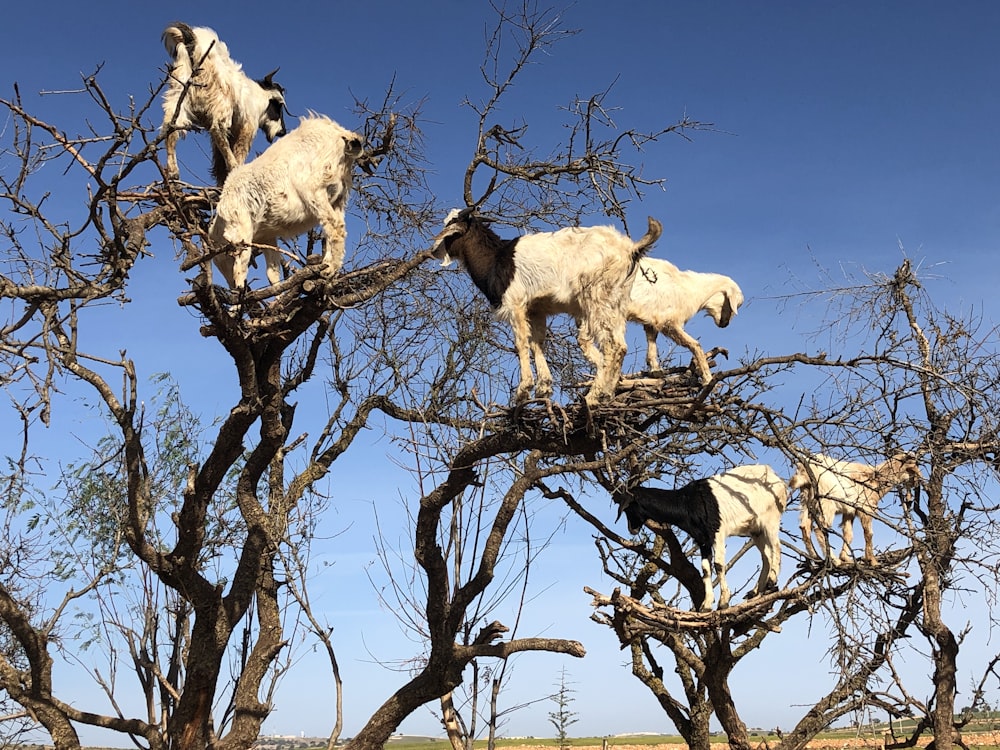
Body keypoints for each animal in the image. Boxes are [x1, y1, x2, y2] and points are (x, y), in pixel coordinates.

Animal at [209, 113, 366, 290]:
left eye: (225, 257)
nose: (233, 287)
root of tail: (341, 135)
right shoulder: (267, 237)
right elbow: (272, 272)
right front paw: (277, 293)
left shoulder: (242, 227)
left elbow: (241, 264)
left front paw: (240, 292)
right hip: (339, 197)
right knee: (335, 227)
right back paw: (329, 267)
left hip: (313, 188)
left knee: (335, 227)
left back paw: (329, 269)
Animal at [432, 209, 660, 408]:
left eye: (452, 227)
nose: (434, 251)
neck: (496, 258)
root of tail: (629, 248)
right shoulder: (536, 310)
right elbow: (537, 343)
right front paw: (544, 388)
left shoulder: (516, 303)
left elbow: (521, 343)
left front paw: (524, 390)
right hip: (616, 303)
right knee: (620, 345)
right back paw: (607, 393)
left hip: (597, 298)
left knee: (613, 346)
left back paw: (594, 396)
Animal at [612, 464, 784, 612]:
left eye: (629, 508)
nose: (632, 529)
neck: (687, 501)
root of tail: (778, 479)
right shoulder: (702, 539)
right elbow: (706, 569)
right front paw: (706, 605)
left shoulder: (717, 531)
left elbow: (718, 565)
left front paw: (723, 602)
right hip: (756, 530)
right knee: (766, 556)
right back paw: (757, 591)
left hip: (770, 519)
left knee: (776, 547)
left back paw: (771, 582)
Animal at [628, 260, 748, 388]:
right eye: (731, 305)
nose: (725, 324)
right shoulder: (669, 322)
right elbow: (695, 344)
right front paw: (708, 379)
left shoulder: (653, 319)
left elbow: (651, 339)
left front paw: (655, 370)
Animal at [788, 450, 920, 568]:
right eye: (912, 467)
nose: (917, 482)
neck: (875, 479)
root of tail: (803, 470)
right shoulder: (865, 509)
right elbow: (868, 534)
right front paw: (872, 561)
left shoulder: (849, 511)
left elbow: (848, 534)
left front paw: (846, 558)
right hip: (826, 502)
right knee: (819, 529)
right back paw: (834, 561)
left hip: (808, 501)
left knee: (805, 527)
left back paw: (817, 557)